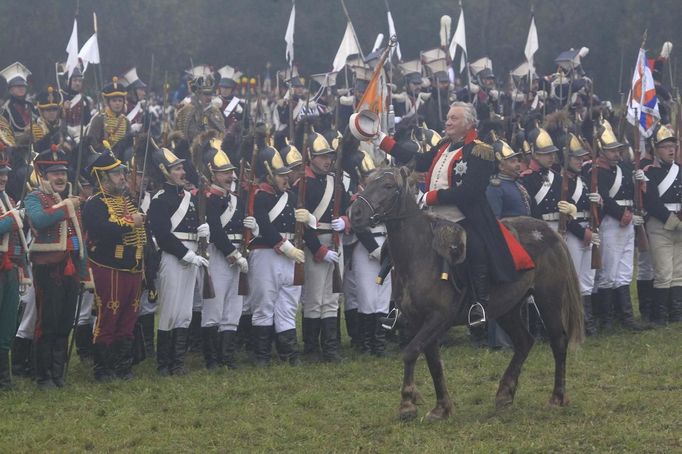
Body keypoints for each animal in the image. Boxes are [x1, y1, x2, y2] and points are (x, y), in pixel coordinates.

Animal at [348, 167, 580, 422]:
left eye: (389, 186)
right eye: (368, 182)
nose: (355, 213)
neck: (418, 254)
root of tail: (550, 232)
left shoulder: (438, 317)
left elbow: (410, 353)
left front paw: (407, 403)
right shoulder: (418, 320)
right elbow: (432, 361)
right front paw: (441, 408)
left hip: (549, 299)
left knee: (558, 342)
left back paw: (557, 397)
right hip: (507, 308)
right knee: (524, 341)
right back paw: (504, 394)